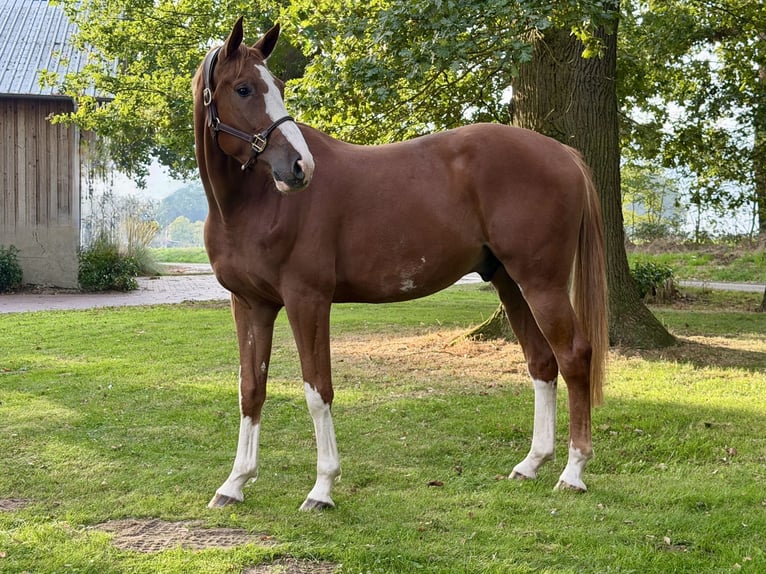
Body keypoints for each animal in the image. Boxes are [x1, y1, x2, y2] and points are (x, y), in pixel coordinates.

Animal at [193, 18, 608, 511]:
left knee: (573, 356)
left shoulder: (307, 300)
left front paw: (322, 488)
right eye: (243, 88)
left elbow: (318, 389)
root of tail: (564, 154)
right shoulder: (250, 304)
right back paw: (531, 464)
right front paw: (234, 483)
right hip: (510, 282)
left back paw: (574, 471)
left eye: (277, 86)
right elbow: (250, 391)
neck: (252, 204)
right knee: (542, 362)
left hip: (541, 282)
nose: (299, 167)